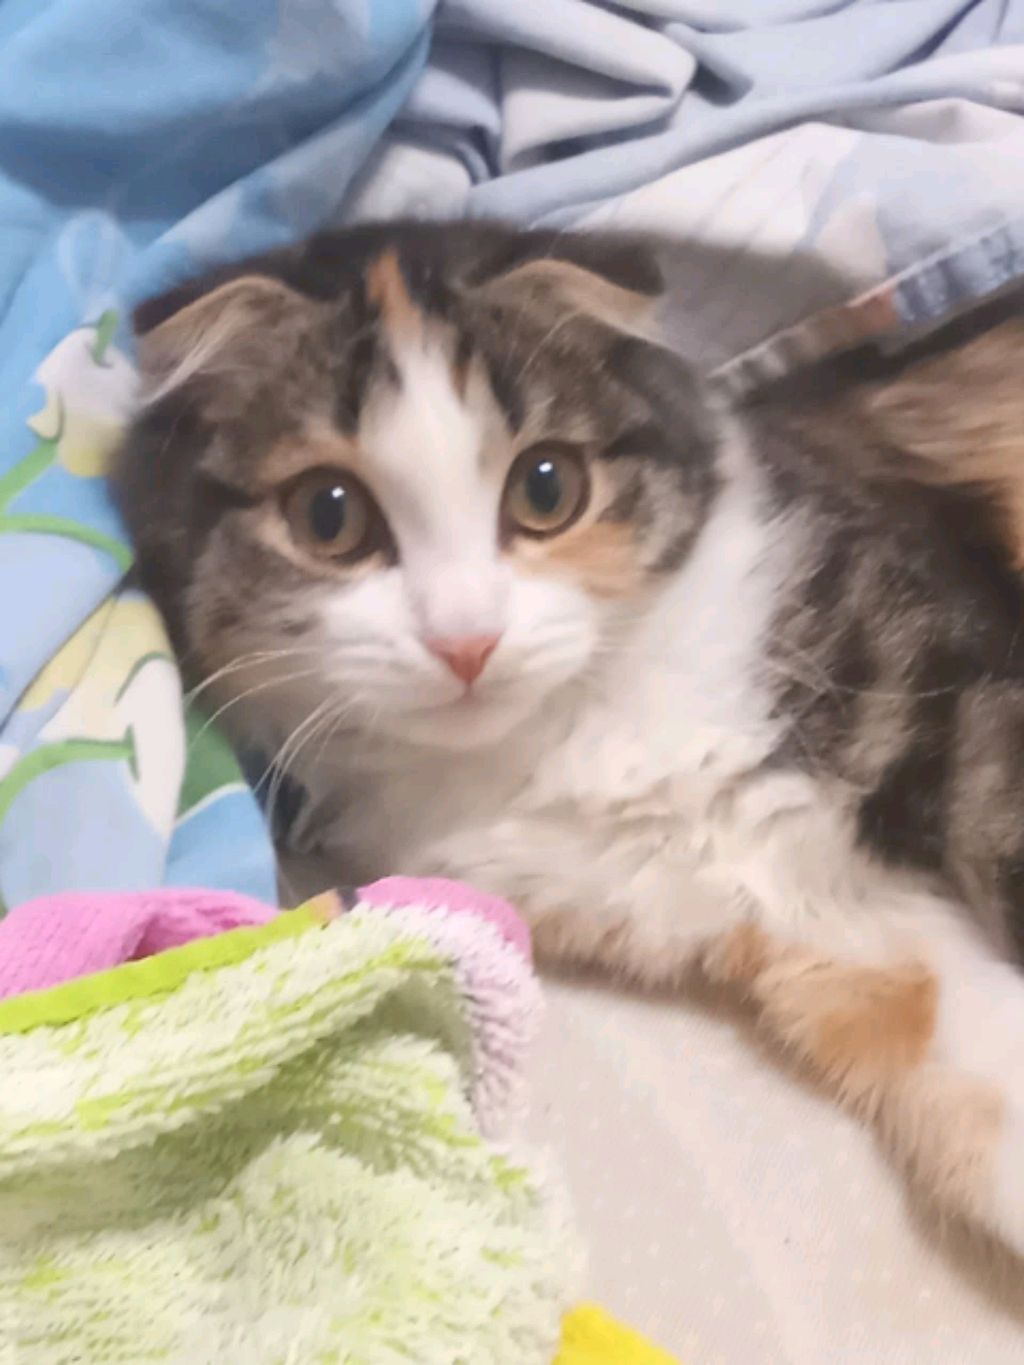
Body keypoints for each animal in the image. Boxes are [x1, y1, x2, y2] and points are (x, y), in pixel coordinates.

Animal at [116, 220, 1024, 1263]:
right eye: (328, 514)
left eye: (546, 488)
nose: (466, 640)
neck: (579, 738)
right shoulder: (832, 919)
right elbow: (972, 1065)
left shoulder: (967, 699)